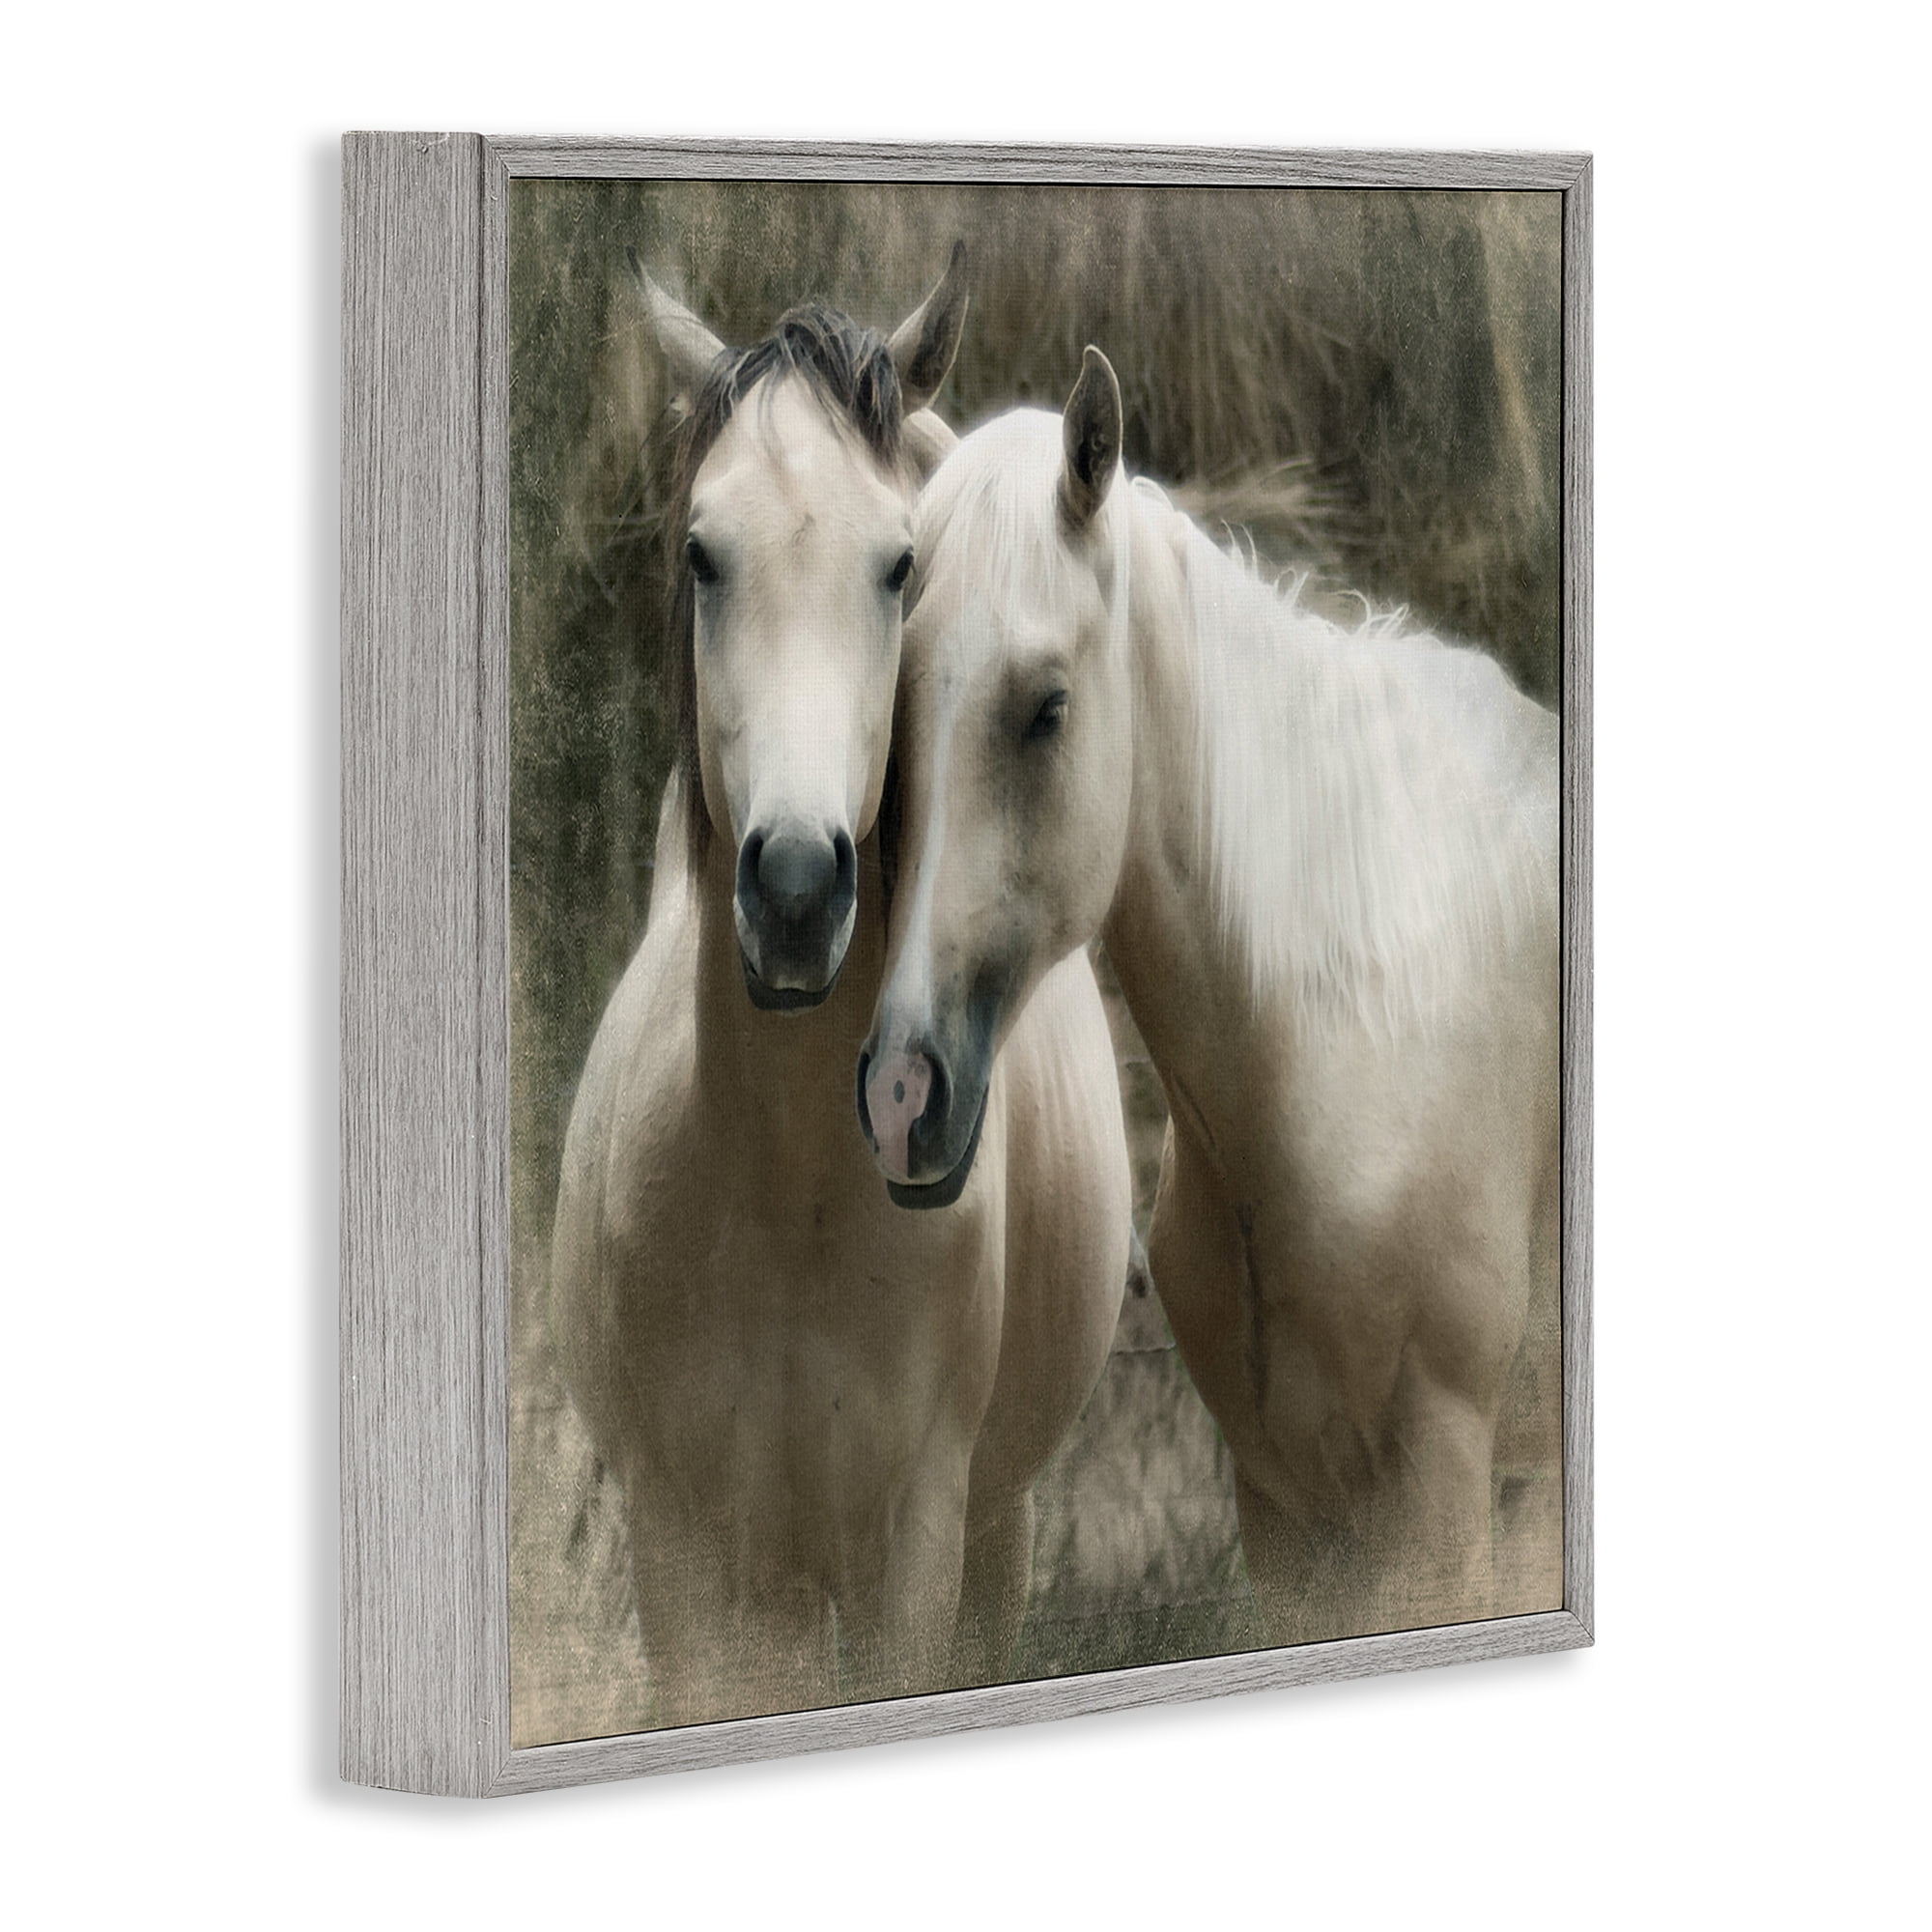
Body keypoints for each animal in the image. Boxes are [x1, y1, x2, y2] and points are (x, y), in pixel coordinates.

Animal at [548, 261, 1131, 1726]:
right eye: (704, 554)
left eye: (897, 563)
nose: (800, 885)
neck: (784, 1192)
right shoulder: (684, 1559)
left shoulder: (913, 1546)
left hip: (993, 1532)